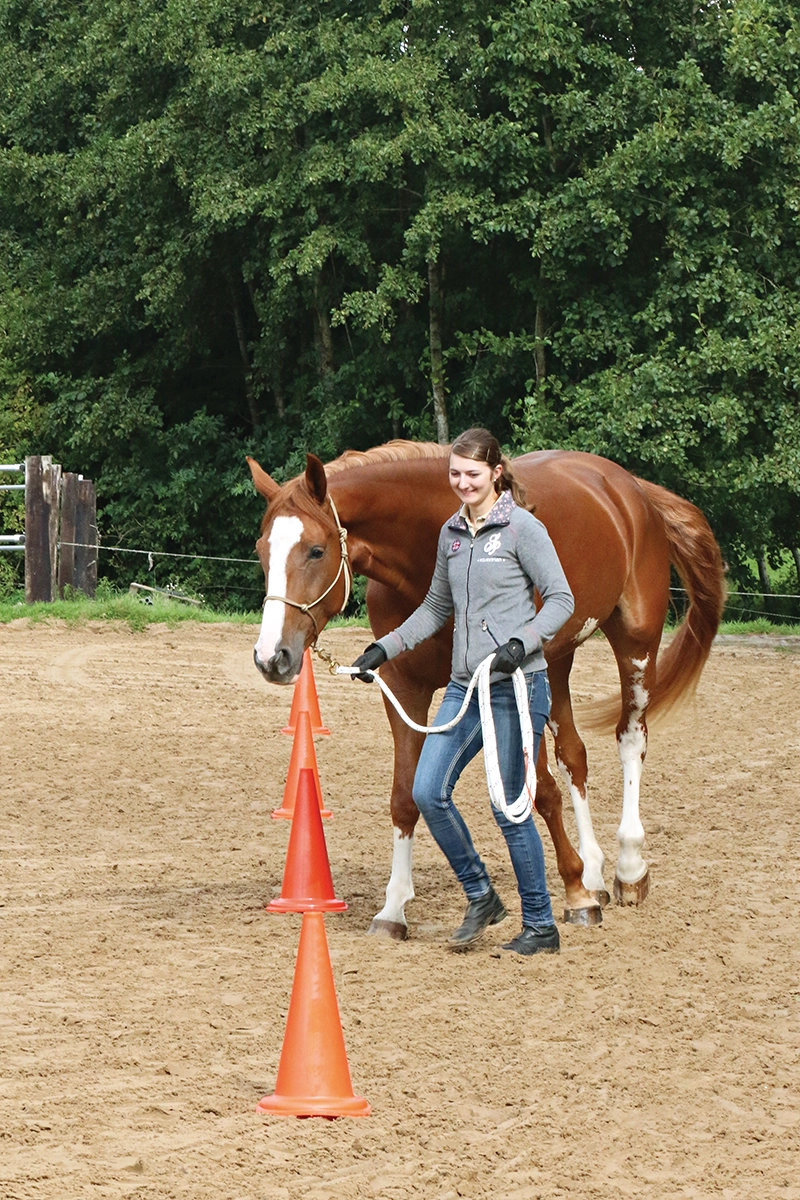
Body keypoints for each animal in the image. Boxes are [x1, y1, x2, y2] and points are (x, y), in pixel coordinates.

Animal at [247, 441, 725, 937]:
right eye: (262, 551)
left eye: (316, 550)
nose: (271, 657)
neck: (423, 554)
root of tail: (630, 488)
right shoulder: (402, 687)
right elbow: (406, 796)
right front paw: (393, 909)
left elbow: (540, 791)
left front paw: (575, 892)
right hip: (556, 663)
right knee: (574, 756)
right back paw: (595, 871)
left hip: (635, 641)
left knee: (630, 741)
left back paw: (627, 870)